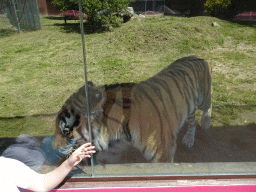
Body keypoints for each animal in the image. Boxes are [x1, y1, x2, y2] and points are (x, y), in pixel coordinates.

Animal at [52, 56, 212, 164]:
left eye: (65, 131)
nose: (54, 147)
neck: (117, 133)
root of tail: (198, 57)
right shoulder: (116, 147)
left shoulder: (163, 155)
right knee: (192, 121)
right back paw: (189, 139)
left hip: (202, 98)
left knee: (207, 106)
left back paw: (206, 122)